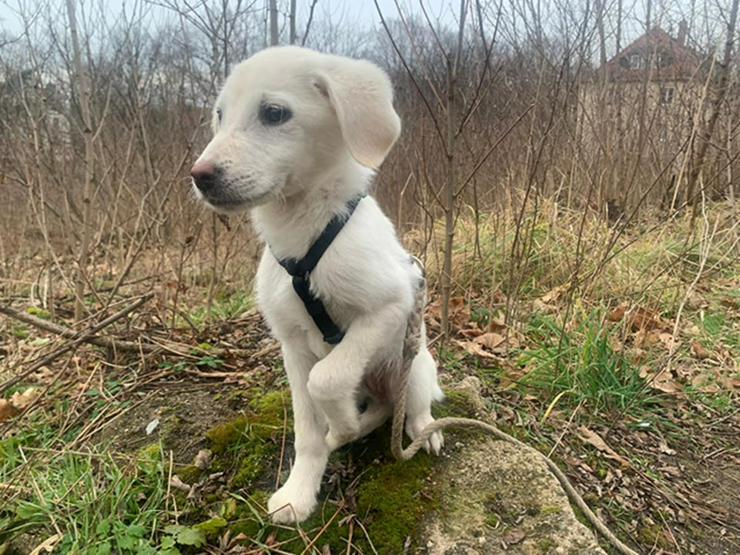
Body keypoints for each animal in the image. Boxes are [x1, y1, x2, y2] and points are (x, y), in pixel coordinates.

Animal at [194, 45, 442, 524]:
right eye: (220, 115)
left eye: (274, 113)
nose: (200, 175)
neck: (302, 236)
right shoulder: (292, 346)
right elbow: (308, 430)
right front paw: (300, 490)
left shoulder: (390, 305)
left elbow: (326, 378)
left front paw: (341, 425)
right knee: (383, 408)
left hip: (415, 363)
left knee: (410, 407)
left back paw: (421, 431)